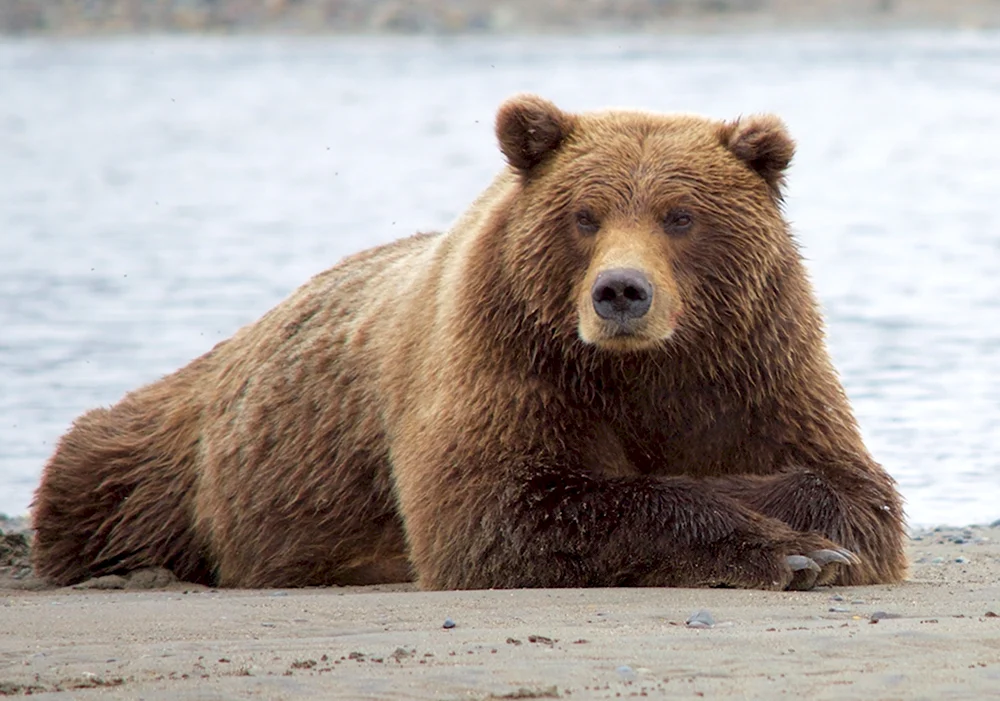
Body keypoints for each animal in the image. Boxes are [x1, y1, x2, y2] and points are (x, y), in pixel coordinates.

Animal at [31, 94, 908, 592]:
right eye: (585, 214)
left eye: (680, 215)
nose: (621, 292)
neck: (642, 371)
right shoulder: (507, 357)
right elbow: (502, 507)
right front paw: (791, 553)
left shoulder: (755, 364)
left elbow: (851, 487)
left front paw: (807, 533)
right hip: (171, 455)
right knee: (98, 473)